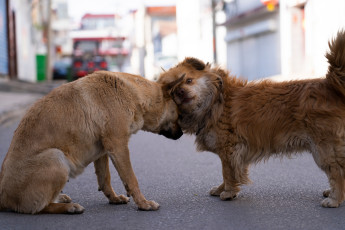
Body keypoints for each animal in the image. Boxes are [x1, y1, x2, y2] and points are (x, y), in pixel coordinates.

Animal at [0, 70, 183, 214]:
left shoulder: (102, 152)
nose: (182, 134)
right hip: (56, 157)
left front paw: (114, 198)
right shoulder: (119, 146)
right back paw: (69, 208)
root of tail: (3, 197)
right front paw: (144, 204)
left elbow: (105, 180)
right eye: (178, 114)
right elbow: (131, 179)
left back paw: (61, 198)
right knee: (39, 208)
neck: (132, 93)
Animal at [159, 29, 345, 208]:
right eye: (172, 91)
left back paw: (335, 199)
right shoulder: (232, 153)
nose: (180, 91)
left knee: (337, 172)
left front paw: (228, 192)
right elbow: (230, 173)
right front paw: (221, 189)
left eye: (189, 80)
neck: (215, 102)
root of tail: (329, 85)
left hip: (323, 149)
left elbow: (227, 173)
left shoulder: (229, 150)